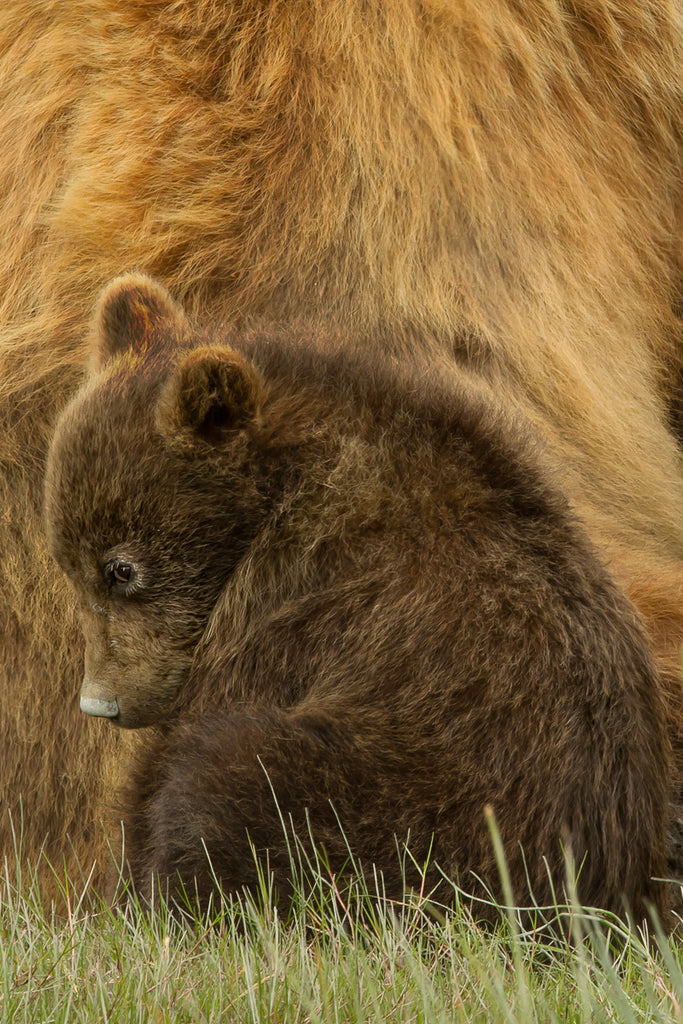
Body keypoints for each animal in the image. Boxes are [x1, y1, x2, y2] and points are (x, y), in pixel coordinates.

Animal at [1, 0, 683, 897]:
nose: (100, 706)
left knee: (234, 771)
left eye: (123, 570)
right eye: (77, 566)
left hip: (410, 797)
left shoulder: (308, 588)